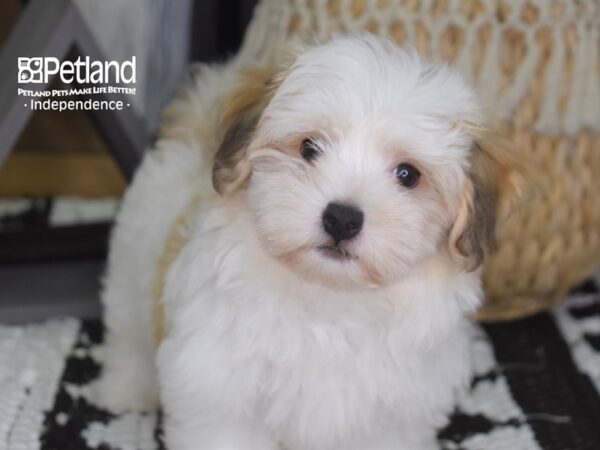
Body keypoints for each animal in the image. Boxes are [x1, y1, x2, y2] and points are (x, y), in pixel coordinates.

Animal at [96, 33, 524, 448]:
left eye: (408, 174)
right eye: (309, 148)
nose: (342, 219)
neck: (329, 300)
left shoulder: (392, 416)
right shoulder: (222, 392)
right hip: (132, 256)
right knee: (127, 328)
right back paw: (125, 389)